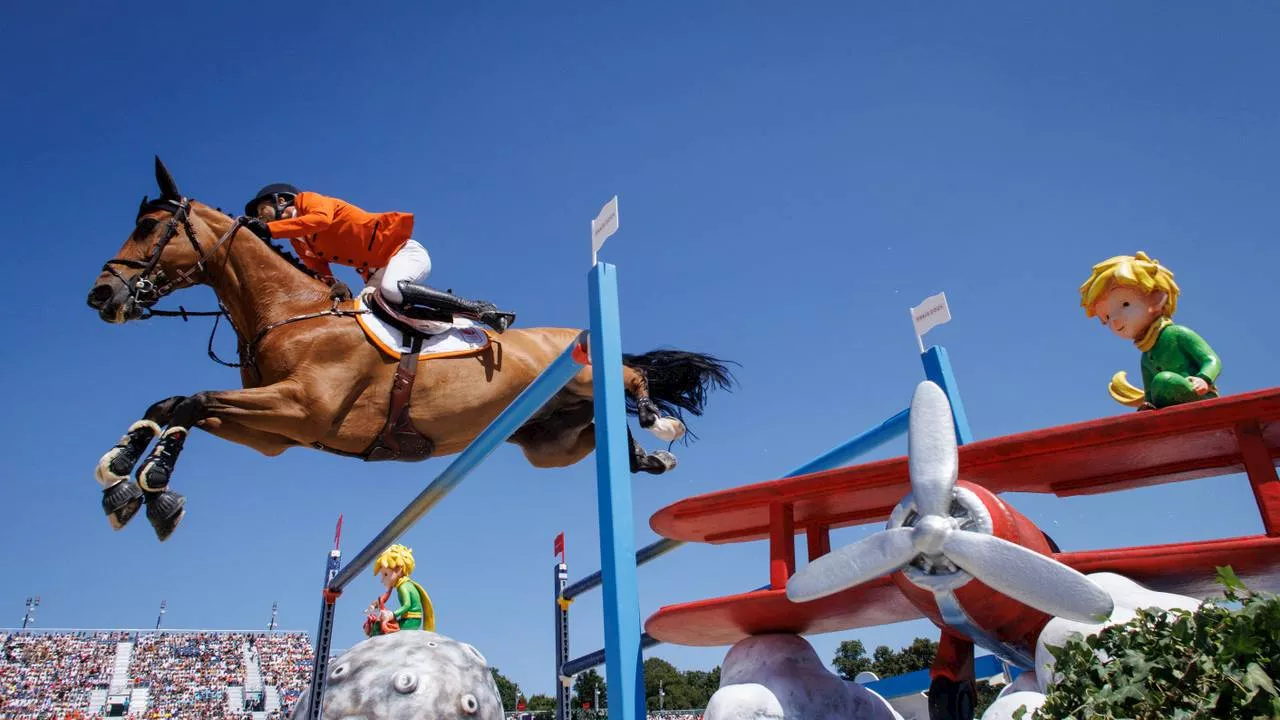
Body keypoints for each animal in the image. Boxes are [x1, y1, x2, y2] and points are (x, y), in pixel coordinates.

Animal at [85, 156, 737, 538]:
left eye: (149, 228)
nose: (101, 295)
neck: (290, 314)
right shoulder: (276, 433)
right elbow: (173, 404)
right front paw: (124, 477)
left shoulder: (300, 407)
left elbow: (192, 401)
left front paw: (150, 487)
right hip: (549, 440)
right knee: (606, 436)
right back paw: (646, 457)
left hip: (579, 370)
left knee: (630, 376)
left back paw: (655, 421)